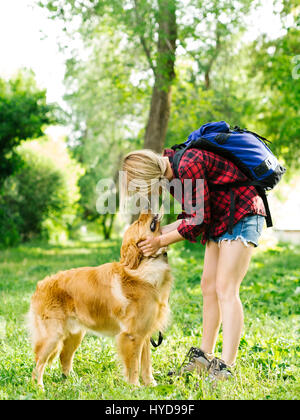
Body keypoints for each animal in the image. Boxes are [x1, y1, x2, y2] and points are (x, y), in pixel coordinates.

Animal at [28, 212, 173, 388]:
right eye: (139, 222)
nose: (146, 210)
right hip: (52, 336)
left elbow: (146, 365)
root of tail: (40, 285)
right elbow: (134, 366)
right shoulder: (131, 335)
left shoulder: (144, 333)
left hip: (75, 334)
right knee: (38, 365)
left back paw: (73, 381)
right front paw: (135, 387)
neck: (144, 266)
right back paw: (39, 388)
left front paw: (151, 385)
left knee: (64, 357)